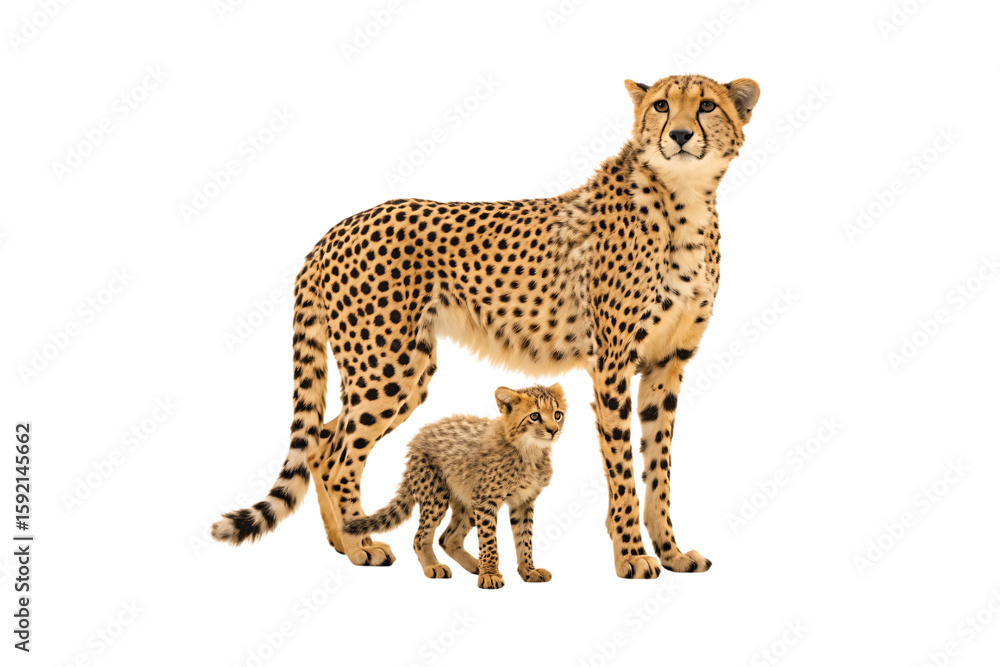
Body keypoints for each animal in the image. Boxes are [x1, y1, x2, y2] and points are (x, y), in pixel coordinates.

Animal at [342, 384, 564, 589]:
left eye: (557, 414)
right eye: (534, 416)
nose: (553, 430)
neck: (529, 450)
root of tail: (419, 437)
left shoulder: (523, 502)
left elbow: (524, 539)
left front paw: (528, 570)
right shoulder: (487, 501)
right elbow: (489, 541)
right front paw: (490, 574)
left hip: (467, 501)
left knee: (448, 538)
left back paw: (475, 565)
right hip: (435, 497)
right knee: (420, 537)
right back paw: (434, 566)